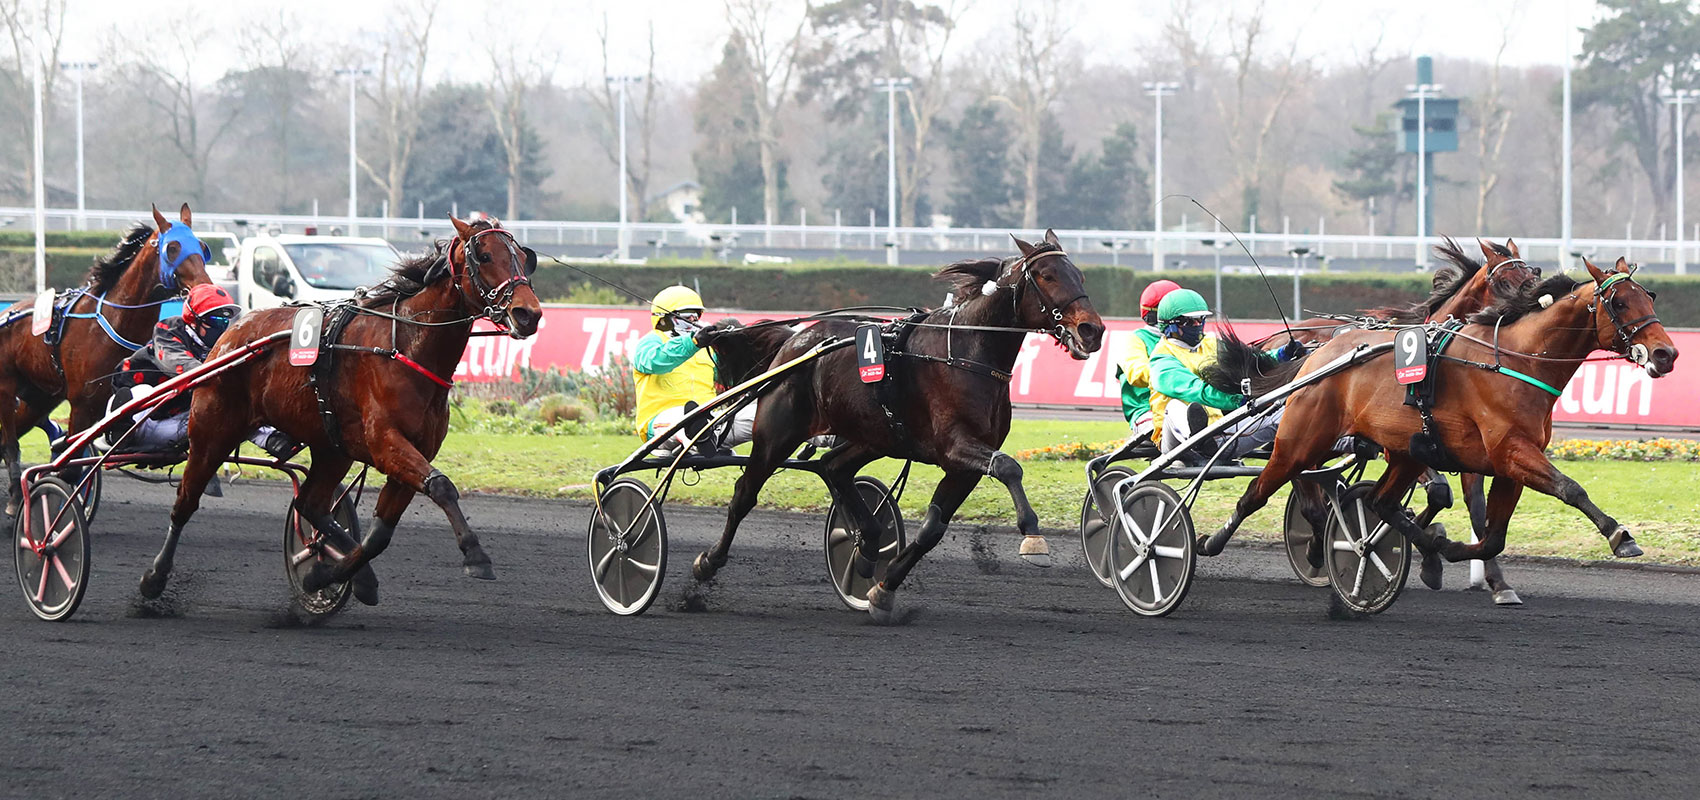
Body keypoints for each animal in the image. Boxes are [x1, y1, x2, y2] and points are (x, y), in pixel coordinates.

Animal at [0, 205, 212, 512]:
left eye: (203, 247)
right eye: (172, 248)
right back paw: (17, 496)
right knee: (9, 443)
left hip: (39, 396)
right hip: (7, 388)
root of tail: (9, 312)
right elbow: (70, 466)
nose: (204, 286)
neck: (115, 322)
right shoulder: (82, 404)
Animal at [139, 215, 540, 604]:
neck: (405, 344)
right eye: (484, 256)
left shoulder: (415, 451)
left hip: (332, 448)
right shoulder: (386, 442)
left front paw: (326, 576)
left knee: (311, 505)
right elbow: (441, 486)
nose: (529, 314)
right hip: (212, 433)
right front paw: (476, 554)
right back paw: (154, 577)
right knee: (185, 502)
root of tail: (231, 334)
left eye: (524, 257)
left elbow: (378, 536)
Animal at [690, 230, 1101, 625]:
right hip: (778, 433)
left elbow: (933, 528)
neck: (965, 353)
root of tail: (795, 339)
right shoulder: (955, 445)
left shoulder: (963, 466)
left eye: (1080, 276)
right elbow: (1008, 466)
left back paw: (869, 544)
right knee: (745, 493)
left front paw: (882, 591)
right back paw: (708, 563)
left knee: (833, 467)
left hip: (873, 436)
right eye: (1047, 275)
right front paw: (1033, 538)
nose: (1092, 330)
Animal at [1210, 258, 1672, 587]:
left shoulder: (1506, 466)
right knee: (1259, 491)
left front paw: (1447, 550)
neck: (1516, 361)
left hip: (1403, 452)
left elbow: (1490, 537)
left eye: (1649, 297)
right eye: (1619, 302)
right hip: (1300, 441)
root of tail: (1318, 354)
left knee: (1378, 501)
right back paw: (1211, 540)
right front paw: (1620, 535)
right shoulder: (1512, 451)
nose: (1667, 353)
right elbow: (1570, 488)